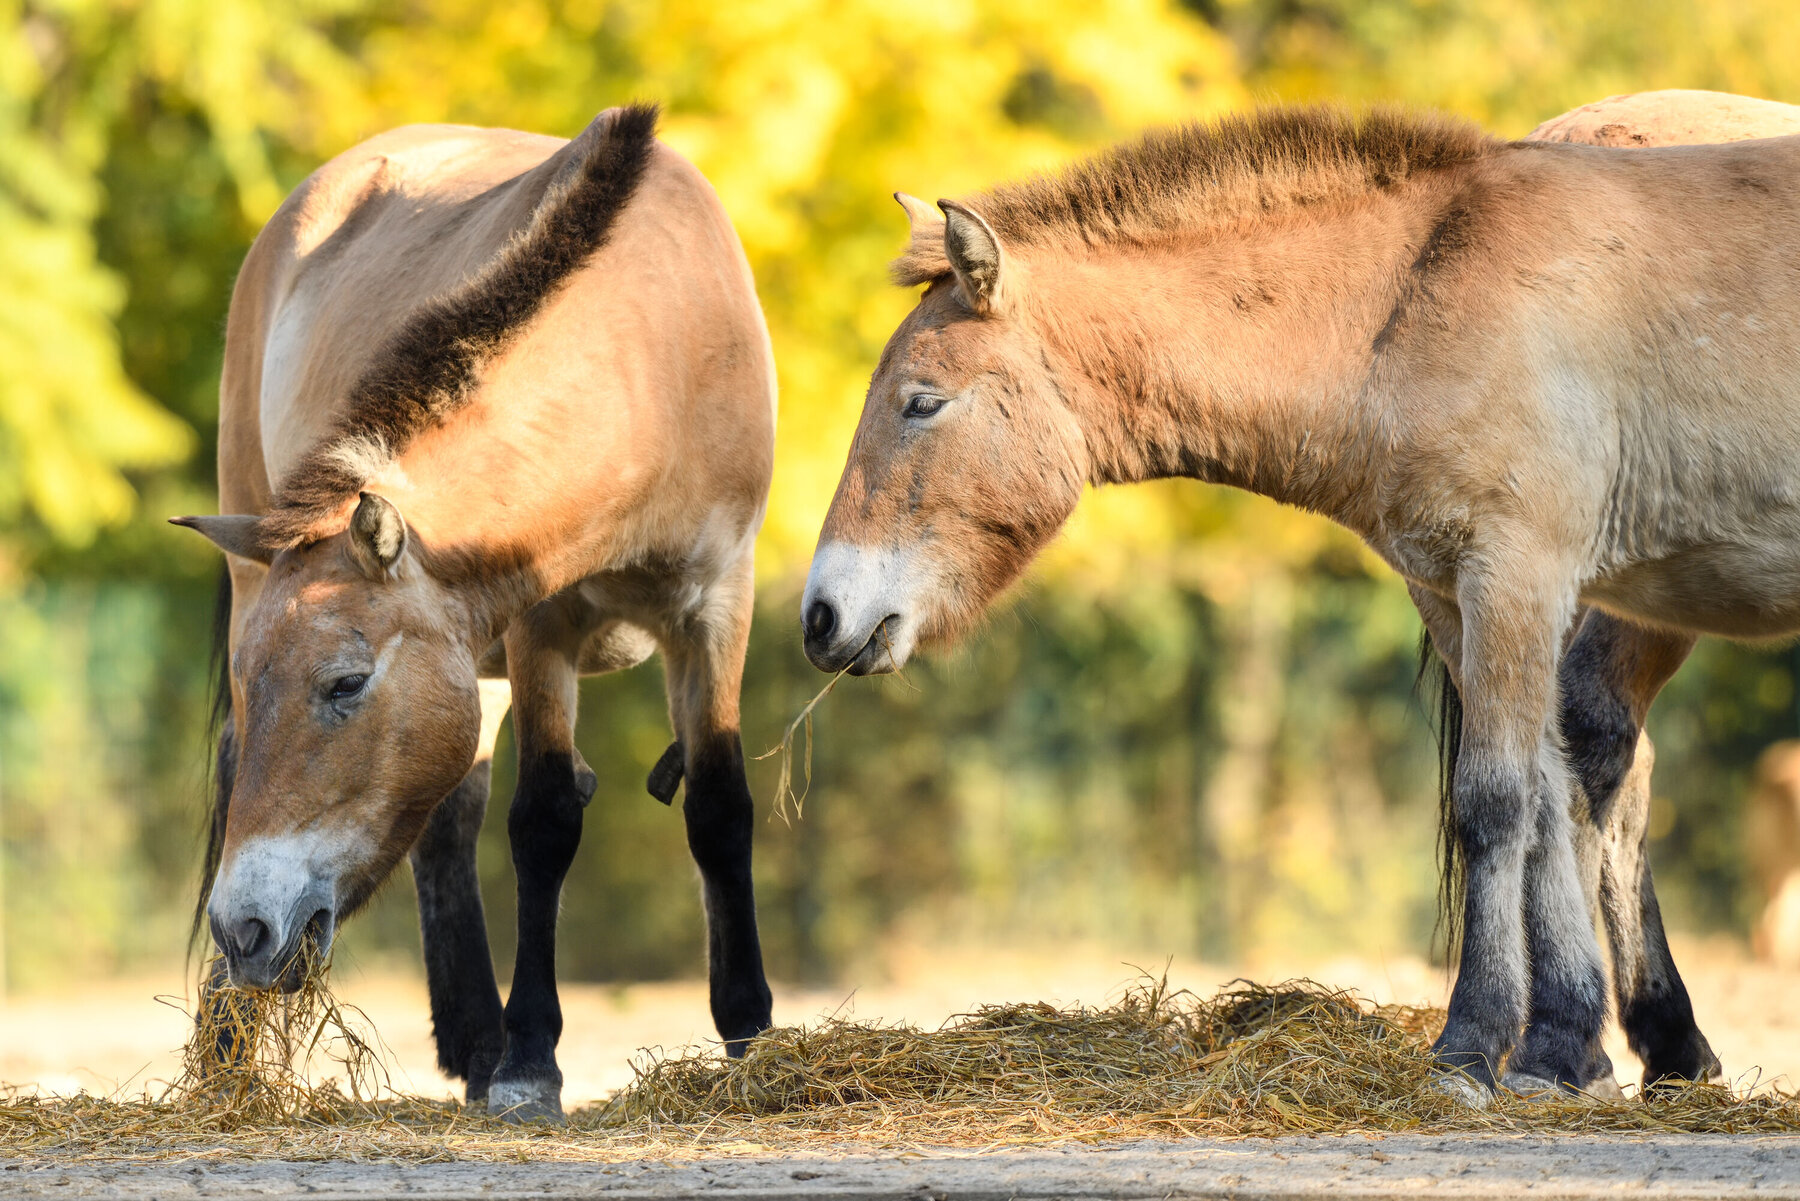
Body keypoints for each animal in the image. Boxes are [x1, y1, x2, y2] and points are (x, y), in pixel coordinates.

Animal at [170, 100, 781, 1116]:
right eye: (262, 688)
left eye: (346, 683)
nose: (247, 928)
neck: (647, 357)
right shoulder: (543, 625)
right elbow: (545, 821)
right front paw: (532, 1061)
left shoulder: (715, 606)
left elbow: (719, 808)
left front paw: (749, 1031)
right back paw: (240, 1052)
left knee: (448, 822)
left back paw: (471, 1045)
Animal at [810, 98, 1800, 1101]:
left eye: (922, 402)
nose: (823, 616)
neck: (1423, 295)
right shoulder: (1461, 594)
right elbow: (1541, 795)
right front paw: (1562, 1051)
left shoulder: (1518, 575)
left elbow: (1495, 801)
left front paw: (1472, 1047)